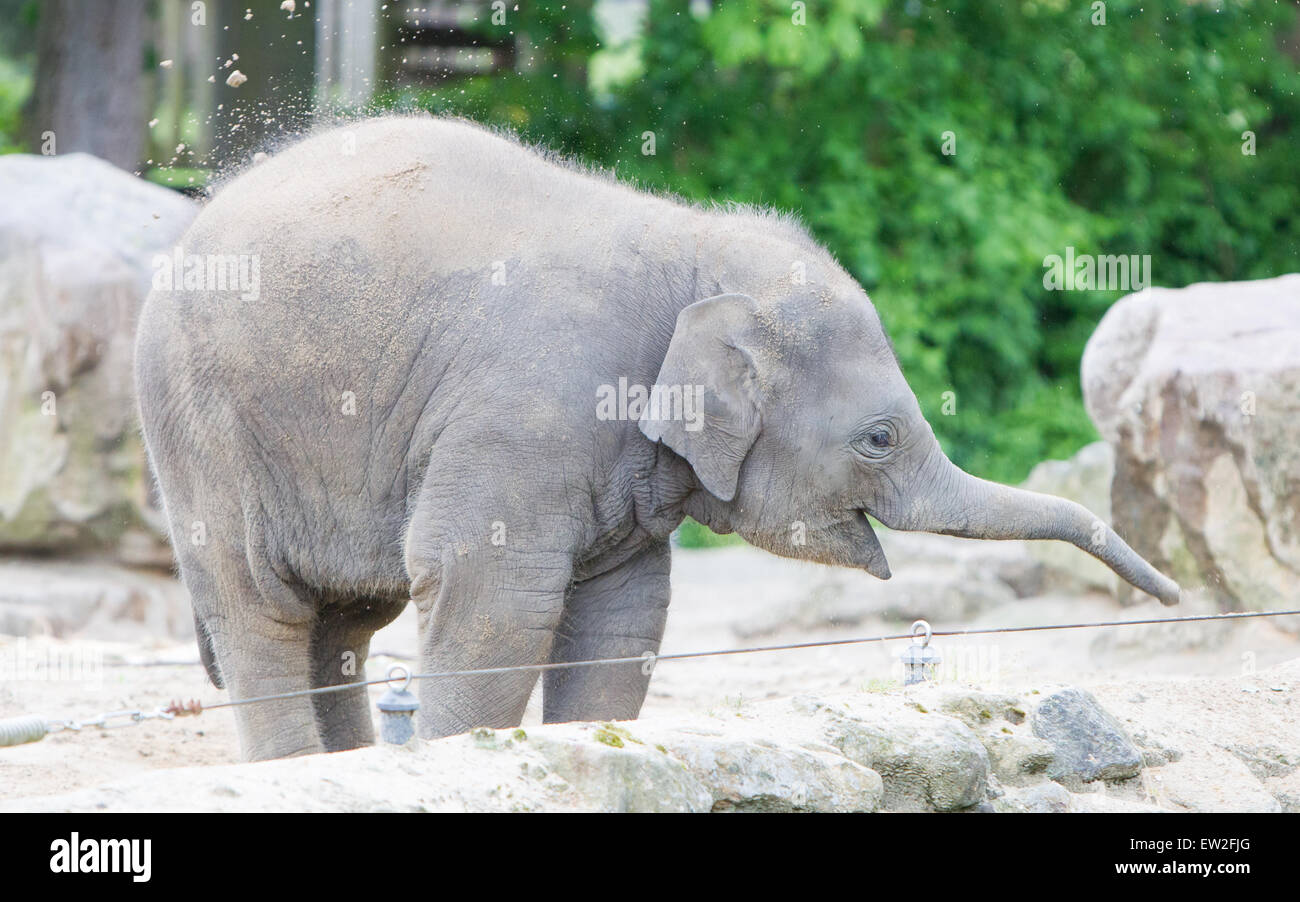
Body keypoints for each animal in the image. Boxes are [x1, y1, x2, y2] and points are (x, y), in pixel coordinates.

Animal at [134, 116, 1180, 761]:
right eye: (879, 439)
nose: (1171, 596)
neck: (694, 249)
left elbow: (624, 615)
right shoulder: (527, 413)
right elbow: (492, 590)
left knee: (342, 621)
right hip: (202, 425)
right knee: (261, 606)